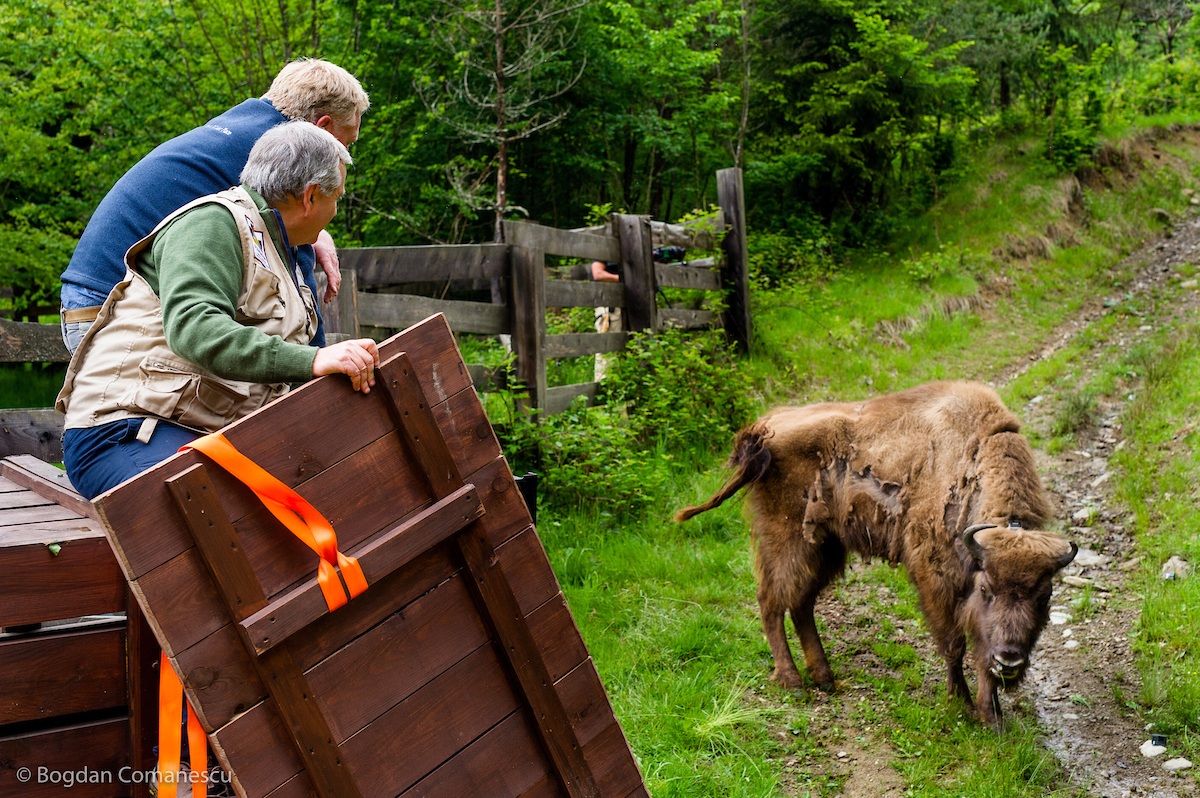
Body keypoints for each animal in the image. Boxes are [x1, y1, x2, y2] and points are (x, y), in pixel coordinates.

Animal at [676, 379, 1080, 720]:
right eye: (987, 589)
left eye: (1045, 596)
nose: (1010, 660)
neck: (973, 464)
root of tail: (762, 429)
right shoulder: (936, 577)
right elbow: (955, 644)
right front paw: (961, 705)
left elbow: (981, 650)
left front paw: (992, 717)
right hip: (788, 541)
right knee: (771, 601)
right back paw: (793, 681)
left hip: (825, 547)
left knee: (800, 604)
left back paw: (824, 677)